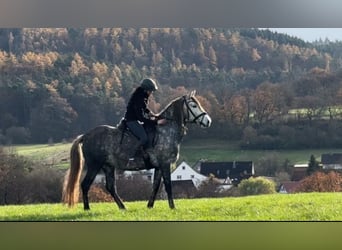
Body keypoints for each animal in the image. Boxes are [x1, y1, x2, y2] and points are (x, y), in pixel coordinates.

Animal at [61, 91, 211, 210]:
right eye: (193, 105)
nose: (208, 121)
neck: (166, 130)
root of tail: (85, 136)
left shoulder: (158, 166)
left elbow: (156, 186)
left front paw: (150, 206)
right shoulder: (165, 164)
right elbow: (168, 185)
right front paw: (172, 207)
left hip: (108, 166)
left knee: (110, 187)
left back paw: (122, 207)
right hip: (94, 165)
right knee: (85, 185)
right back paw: (87, 208)